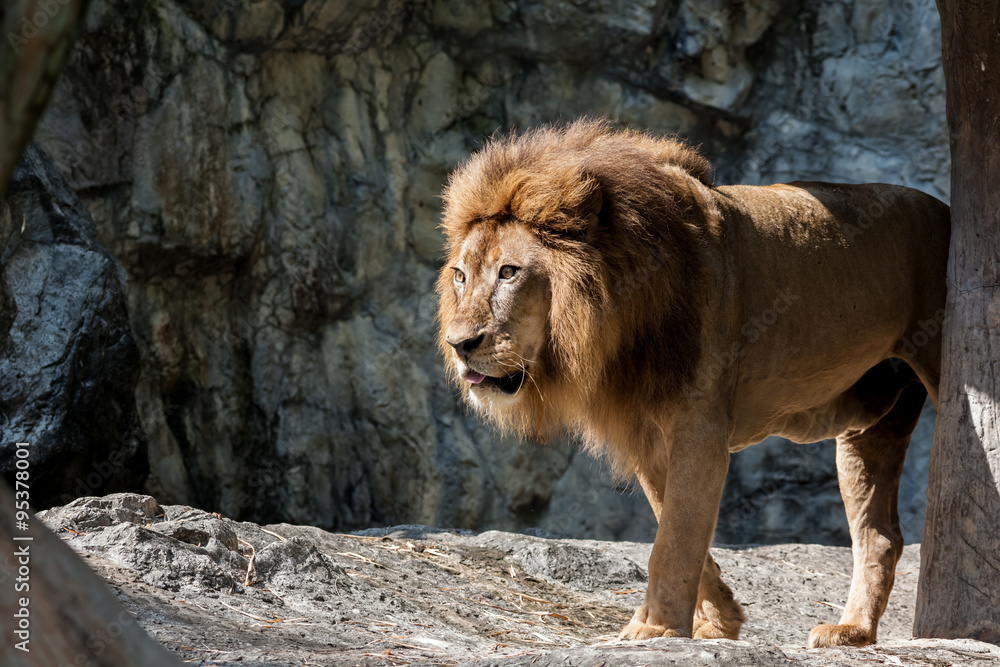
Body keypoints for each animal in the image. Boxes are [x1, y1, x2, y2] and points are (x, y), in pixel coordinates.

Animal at [436, 118, 949, 647]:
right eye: (460, 276)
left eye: (509, 272)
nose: (459, 344)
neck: (622, 321)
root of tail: (945, 207)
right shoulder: (647, 434)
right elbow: (674, 521)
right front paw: (719, 619)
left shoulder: (700, 428)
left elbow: (674, 537)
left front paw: (653, 628)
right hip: (871, 426)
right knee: (880, 534)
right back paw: (852, 631)